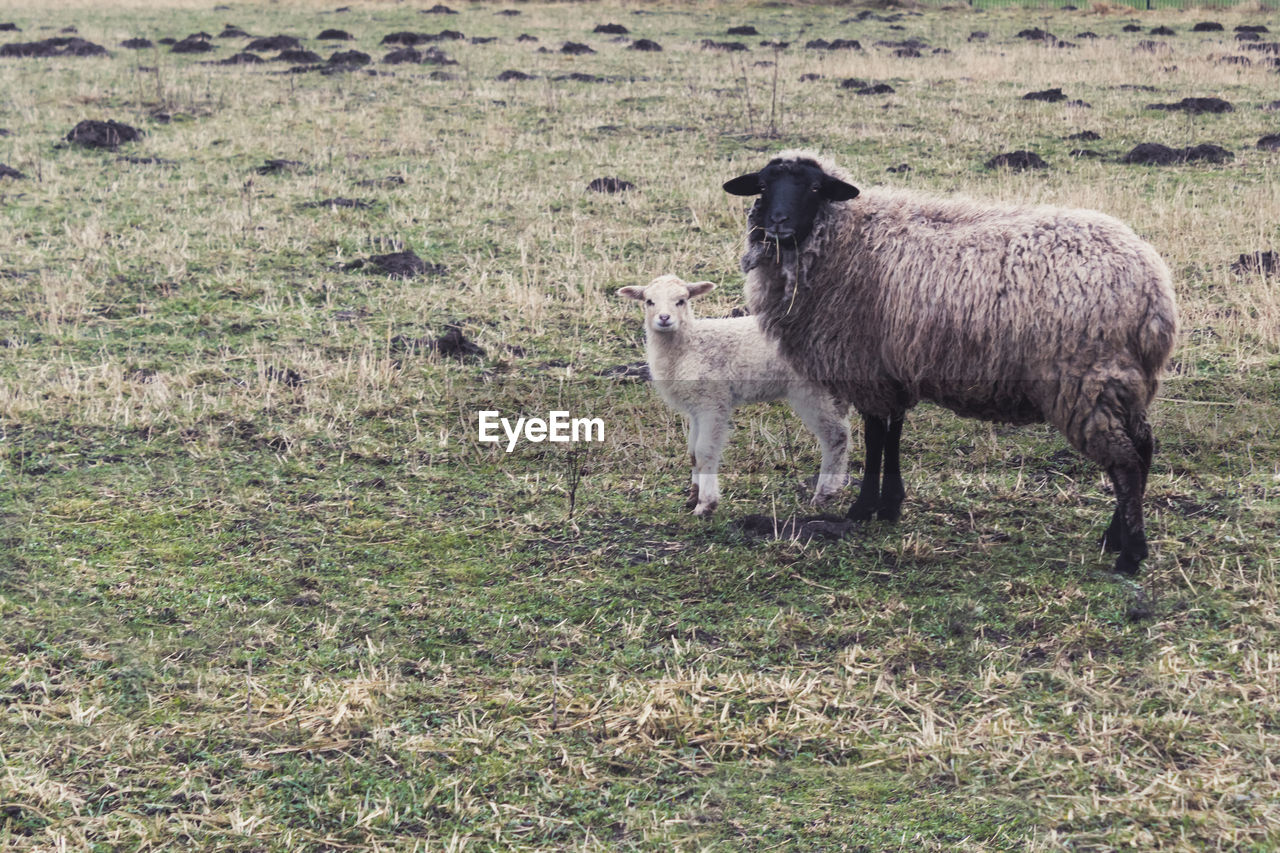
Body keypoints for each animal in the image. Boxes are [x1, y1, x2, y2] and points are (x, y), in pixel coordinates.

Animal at [616, 274, 849, 512]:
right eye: (649, 301)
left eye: (681, 301)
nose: (664, 318)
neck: (688, 346)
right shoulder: (696, 406)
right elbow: (692, 453)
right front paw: (693, 496)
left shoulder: (712, 400)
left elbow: (704, 451)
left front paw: (705, 504)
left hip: (811, 390)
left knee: (836, 436)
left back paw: (824, 493)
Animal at [721, 151, 1177, 571]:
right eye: (764, 185)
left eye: (815, 188)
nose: (777, 223)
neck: (850, 238)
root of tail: (1154, 289)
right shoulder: (893, 370)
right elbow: (892, 435)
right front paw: (890, 505)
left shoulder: (867, 368)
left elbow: (875, 437)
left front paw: (864, 508)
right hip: (1123, 381)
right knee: (1142, 449)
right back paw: (1114, 537)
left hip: (1088, 381)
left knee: (1126, 462)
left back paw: (1131, 554)